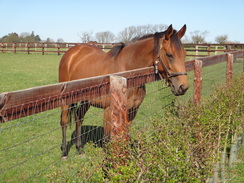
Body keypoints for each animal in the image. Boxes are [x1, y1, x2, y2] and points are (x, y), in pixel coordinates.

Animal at [58, 24, 189, 159]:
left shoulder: (132, 110)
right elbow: (107, 139)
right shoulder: (109, 110)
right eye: (169, 55)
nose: (183, 87)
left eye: (184, 54)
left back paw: (80, 149)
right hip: (65, 100)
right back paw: (64, 152)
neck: (126, 74)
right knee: (64, 121)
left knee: (79, 118)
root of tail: (72, 52)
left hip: (85, 100)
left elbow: (125, 135)